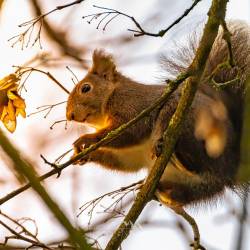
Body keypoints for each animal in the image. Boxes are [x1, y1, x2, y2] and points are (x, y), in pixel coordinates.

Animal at [66, 21, 250, 248]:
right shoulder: (132, 154)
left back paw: (175, 156)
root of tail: (231, 165)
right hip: (198, 187)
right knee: (191, 189)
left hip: (189, 123)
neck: (112, 94)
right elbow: (125, 161)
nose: (69, 115)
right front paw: (84, 154)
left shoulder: (135, 108)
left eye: (85, 88)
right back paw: (164, 192)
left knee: (189, 153)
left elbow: (129, 132)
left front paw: (86, 139)